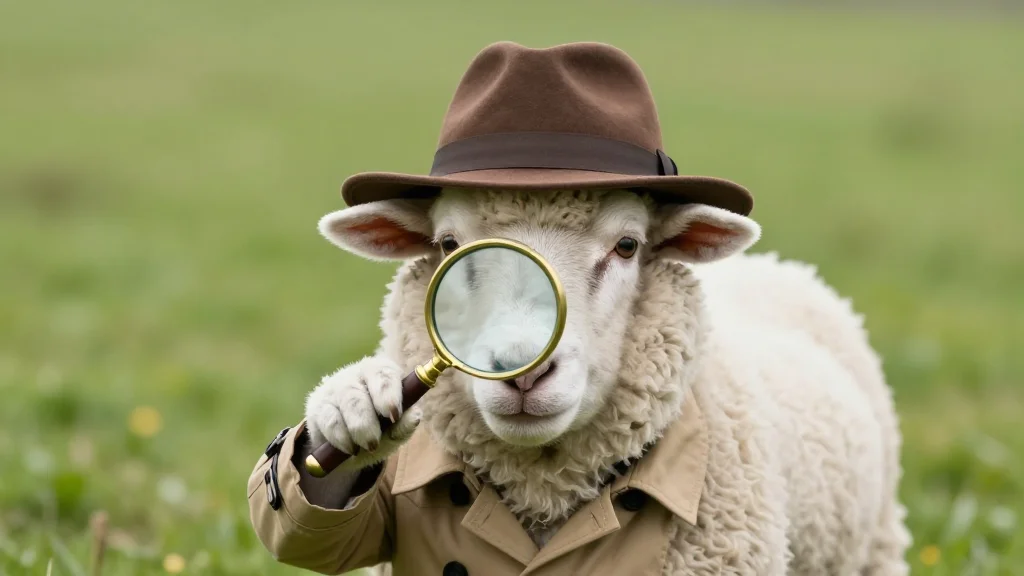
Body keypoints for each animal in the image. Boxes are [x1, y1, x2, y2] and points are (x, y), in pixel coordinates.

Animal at [285, 187, 911, 575]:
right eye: (447, 246)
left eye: (627, 245)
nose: (523, 369)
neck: (545, 487)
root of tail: (776, 263)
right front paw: (352, 404)